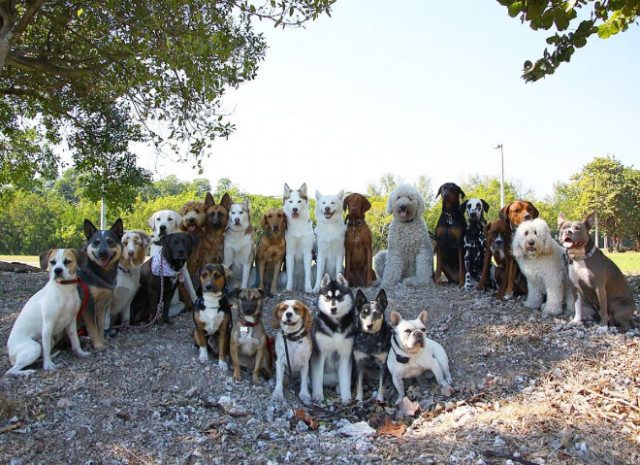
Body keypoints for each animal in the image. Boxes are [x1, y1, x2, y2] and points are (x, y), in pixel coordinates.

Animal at [5, 248, 91, 376]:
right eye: (52, 262)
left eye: (67, 261)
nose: (57, 270)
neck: (64, 290)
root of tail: (11, 355)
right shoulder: (48, 324)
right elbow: (46, 349)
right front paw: (48, 365)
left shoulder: (71, 321)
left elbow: (75, 341)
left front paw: (80, 353)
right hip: (35, 347)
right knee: (10, 371)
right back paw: (27, 372)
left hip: (49, 340)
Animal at [310, 272, 356, 402]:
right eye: (327, 297)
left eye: (339, 297)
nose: (333, 308)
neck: (336, 327)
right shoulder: (319, 353)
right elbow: (317, 377)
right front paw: (318, 394)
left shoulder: (345, 355)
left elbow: (345, 379)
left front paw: (346, 398)